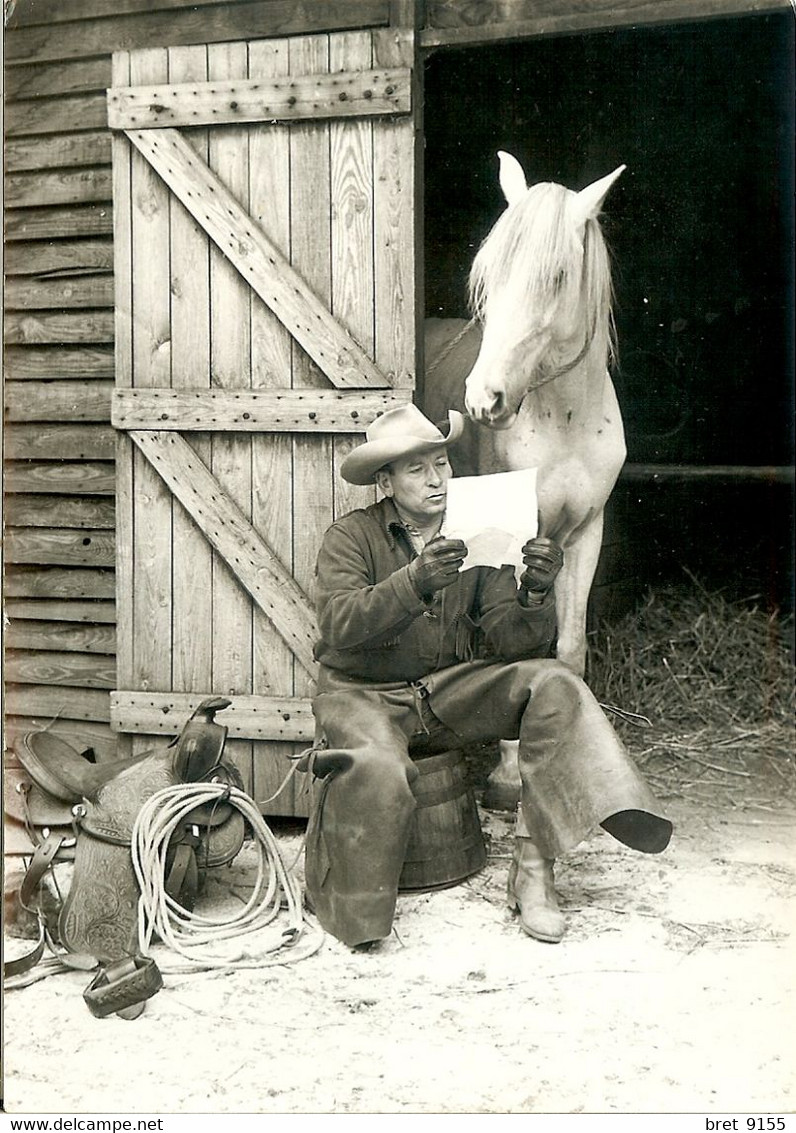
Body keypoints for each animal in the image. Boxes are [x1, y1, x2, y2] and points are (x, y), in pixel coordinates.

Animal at [423, 152, 629, 806]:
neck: (563, 419)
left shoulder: (585, 535)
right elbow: (511, 643)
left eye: (559, 276)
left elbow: (567, 646)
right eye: (490, 273)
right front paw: (509, 775)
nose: (485, 401)